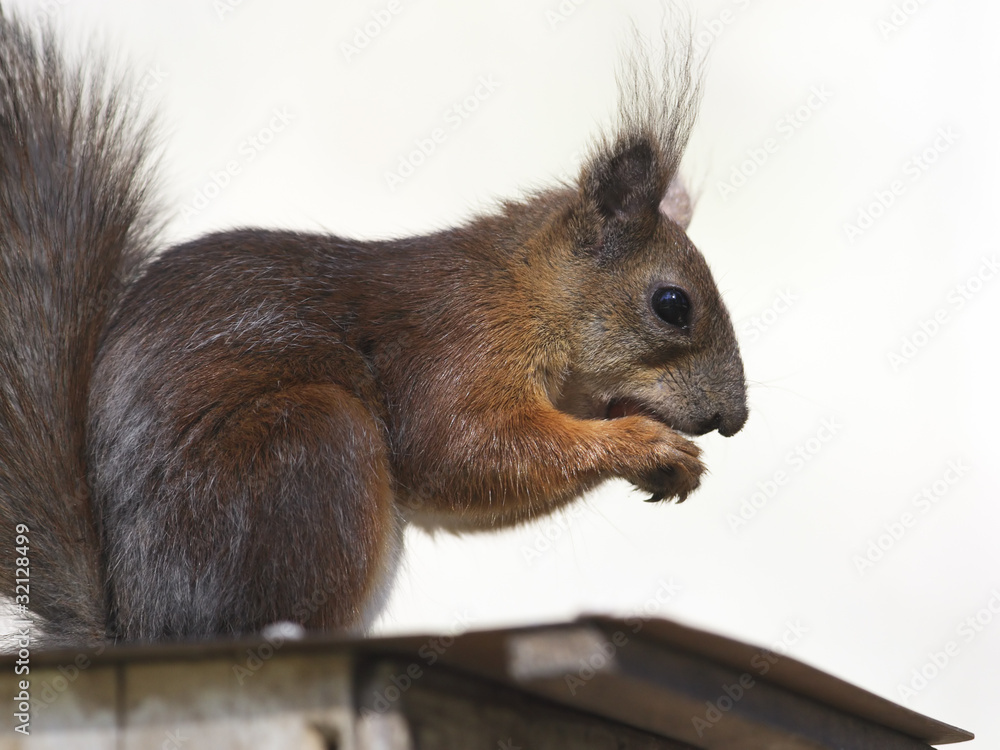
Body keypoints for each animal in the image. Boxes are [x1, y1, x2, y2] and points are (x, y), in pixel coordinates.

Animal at [0, 12, 747, 646]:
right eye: (673, 304)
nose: (733, 418)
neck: (526, 291)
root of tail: (136, 632)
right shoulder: (454, 344)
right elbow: (460, 449)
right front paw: (644, 444)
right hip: (311, 448)